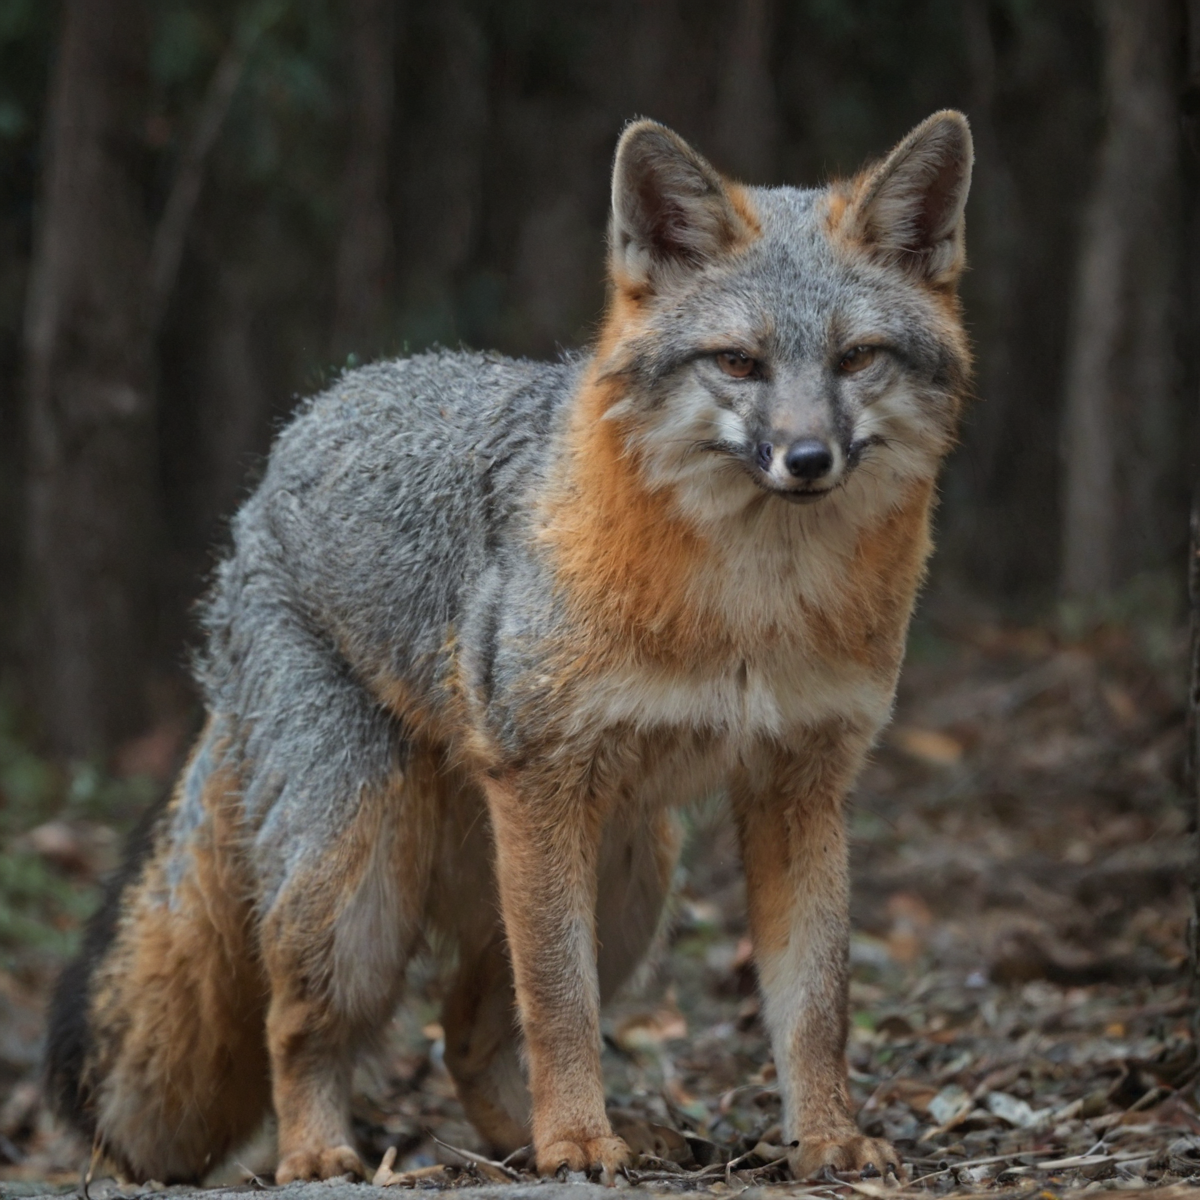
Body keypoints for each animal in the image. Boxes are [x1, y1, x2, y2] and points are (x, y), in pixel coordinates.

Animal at [46, 111, 972, 1186]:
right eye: (738, 364)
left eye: (858, 358)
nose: (807, 459)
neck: (751, 605)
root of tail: (305, 423)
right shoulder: (540, 781)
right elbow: (561, 1006)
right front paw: (577, 1139)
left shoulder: (803, 786)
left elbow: (817, 1005)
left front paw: (826, 1138)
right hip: (363, 882)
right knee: (303, 1024)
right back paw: (326, 1152)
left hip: (628, 874)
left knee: (464, 1030)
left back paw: (538, 1138)